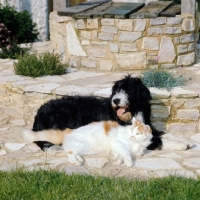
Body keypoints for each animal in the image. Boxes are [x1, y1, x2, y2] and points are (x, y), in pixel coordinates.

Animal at [22, 117, 152, 167]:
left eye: (137, 133)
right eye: (131, 131)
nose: (132, 136)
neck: (137, 144)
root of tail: (69, 130)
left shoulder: (116, 148)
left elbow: (120, 155)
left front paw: (118, 161)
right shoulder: (118, 144)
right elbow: (126, 154)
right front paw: (128, 162)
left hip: (84, 148)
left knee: (71, 152)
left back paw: (79, 159)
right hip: (80, 145)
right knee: (69, 153)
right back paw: (76, 162)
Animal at [32, 75, 164, 150]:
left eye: (128, 90)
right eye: (115, 91)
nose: (115, 100)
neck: (133, 112)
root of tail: (39, 112)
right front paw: (155, 143)